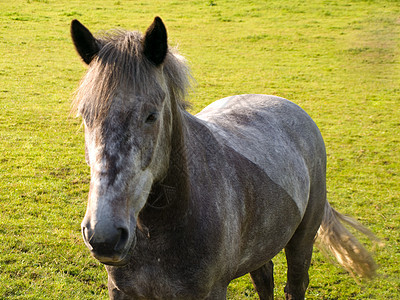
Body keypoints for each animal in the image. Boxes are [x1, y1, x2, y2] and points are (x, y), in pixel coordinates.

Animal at [69, 17, 378, 300]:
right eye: (85, 115)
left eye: (151, 116)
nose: (104, 236)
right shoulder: (121, 290)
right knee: (264, 278)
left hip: (302, 239)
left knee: (296, 284)